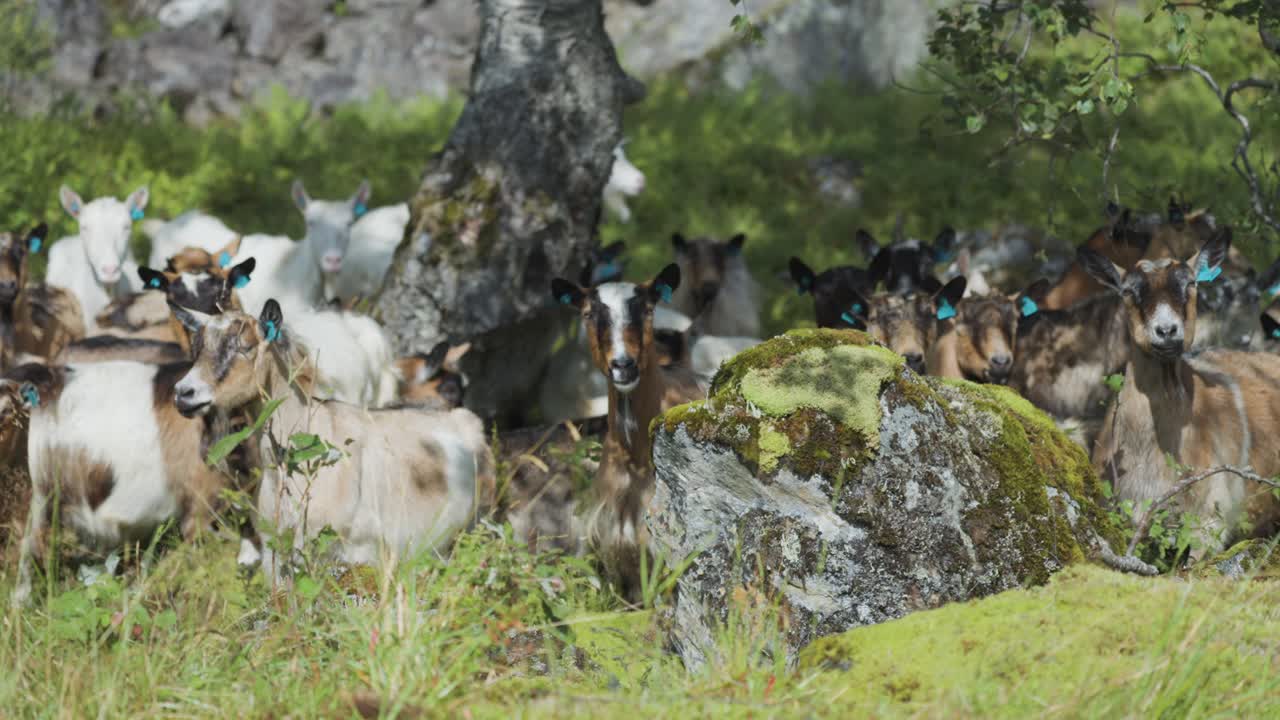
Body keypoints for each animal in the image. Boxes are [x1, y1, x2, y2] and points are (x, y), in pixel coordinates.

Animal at [170, 300, 496, 582]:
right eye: (197, 349)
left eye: (245, 346)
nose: (184, 393)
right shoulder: (276, 551)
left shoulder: (327, 550)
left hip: (473, 527)